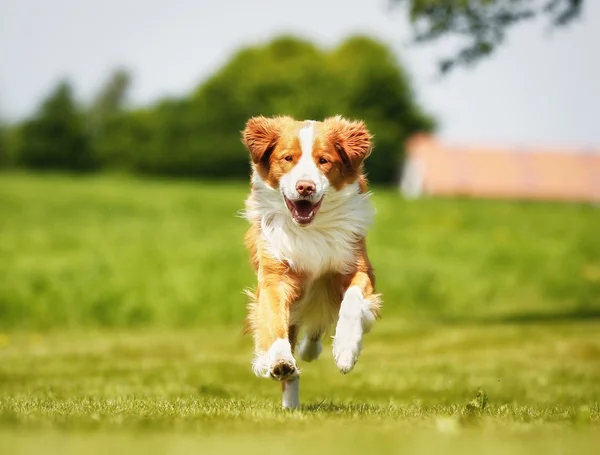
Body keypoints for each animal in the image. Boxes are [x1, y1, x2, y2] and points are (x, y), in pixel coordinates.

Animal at [241, 114, 382, 410]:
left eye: (324, 160)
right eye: (288, 158)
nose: (305, 187)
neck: (311, 230)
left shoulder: (358, 268)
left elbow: (352, 303)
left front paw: (346, 350)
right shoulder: (274, 277)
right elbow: (274, 321)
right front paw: (279, 360)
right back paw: (290, 402)